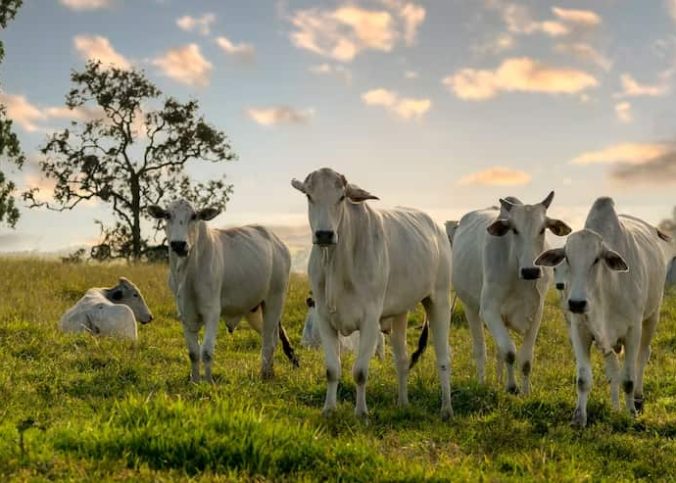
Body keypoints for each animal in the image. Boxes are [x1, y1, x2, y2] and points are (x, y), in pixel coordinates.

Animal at [151, 199, 298, 382]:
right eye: (167, 215)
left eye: (194, 216)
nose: (179, 244)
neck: (188, 273)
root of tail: (278, 243)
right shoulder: (185, 314)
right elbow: (193, 353)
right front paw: (194, 381)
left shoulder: (212, 312)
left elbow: (206, 351)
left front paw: (209, 382)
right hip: (254, 309)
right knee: (271, 336)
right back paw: (269, 372)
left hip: (275, 300)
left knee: (269, 342)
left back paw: (265, 375)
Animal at [292, 169, 454, 420]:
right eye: (309, 196)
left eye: (341, 197)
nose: (324, 234)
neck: (337, 263)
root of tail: (436, 227)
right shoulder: (324, 318)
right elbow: (332, 370)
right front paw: (329, 409)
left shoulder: (370, 320)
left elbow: (360, 372)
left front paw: (361, 413)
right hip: (400, 313)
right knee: (402, 359)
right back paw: (403, 403)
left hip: (439, 299)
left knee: (443, 358)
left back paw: (446, 409)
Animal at [532, 197, 672, 428]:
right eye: (566, 258)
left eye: (596, 259)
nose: (576, 303)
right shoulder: (580, 331)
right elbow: (584, 379)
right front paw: (579, 418)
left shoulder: (633, 331)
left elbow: (628, 378)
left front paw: (631, 413)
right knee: (613, 370)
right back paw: (615, 407)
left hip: (652, 317)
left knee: (643, 357)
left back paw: (638, 400)